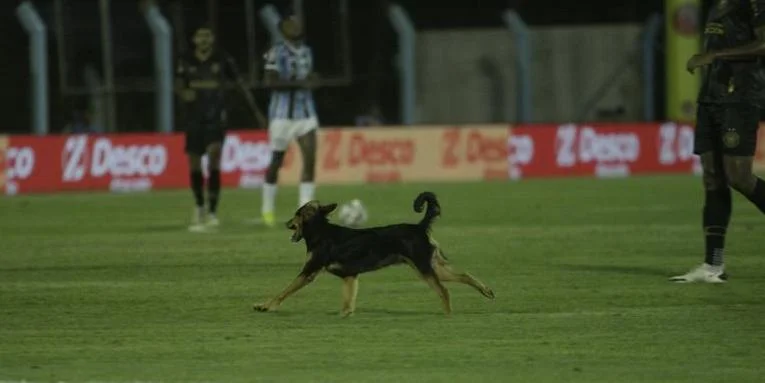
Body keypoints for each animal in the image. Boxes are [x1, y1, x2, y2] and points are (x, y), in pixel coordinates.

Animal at [252, 192, 496, 318]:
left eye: (297, 214)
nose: (285, 223)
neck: (321, 231)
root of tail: (419, 227)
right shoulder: (350, 276)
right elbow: (348, 302)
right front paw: (345, 316)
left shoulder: (309, 272)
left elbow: (283, 291)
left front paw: (266, 306)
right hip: (433, 266)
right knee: (464, 275)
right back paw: (486, 291)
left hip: (424, 269)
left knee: (444, 291)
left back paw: (447, 315)